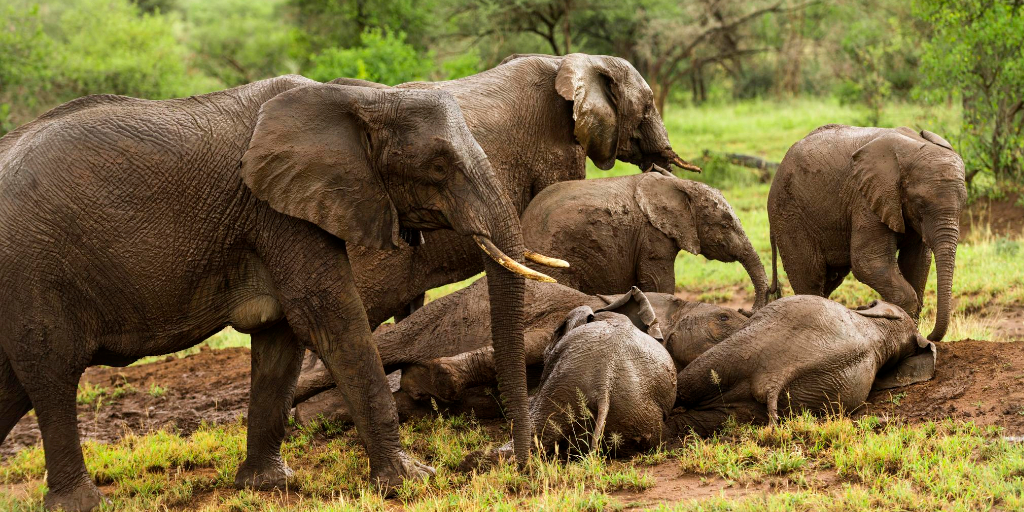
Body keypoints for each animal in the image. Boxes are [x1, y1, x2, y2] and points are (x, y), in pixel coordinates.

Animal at [0, 76, 563, 510]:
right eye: (439, 168)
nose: (519, 468)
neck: (358, 98)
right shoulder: (278, 213)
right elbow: (328, 317)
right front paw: (413, 481)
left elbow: (281, 335)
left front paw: (269, 486)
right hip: (33, 271)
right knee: (51, 371)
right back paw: (82, 503)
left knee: (12, 384)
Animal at [293, 278, 749, 418]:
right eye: (724, 319)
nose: (749, 321)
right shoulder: (556, 313)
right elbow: (526, 345)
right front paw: (432, 378)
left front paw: (424, 384)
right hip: (436, 313)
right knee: (385, 346)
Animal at [520, 172, 769, 309]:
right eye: (725, 226)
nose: (748, 311)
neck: (681, 184)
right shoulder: (652, 235)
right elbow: (659, 283)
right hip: (554, 256)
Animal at [767, 125, 967, 341]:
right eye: (920, 205)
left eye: (964, 203)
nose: (930, 335)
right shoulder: (865, 199)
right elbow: (868, 262)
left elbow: (917, 262)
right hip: (788, 213)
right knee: (810, 276)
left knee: (830, 278)